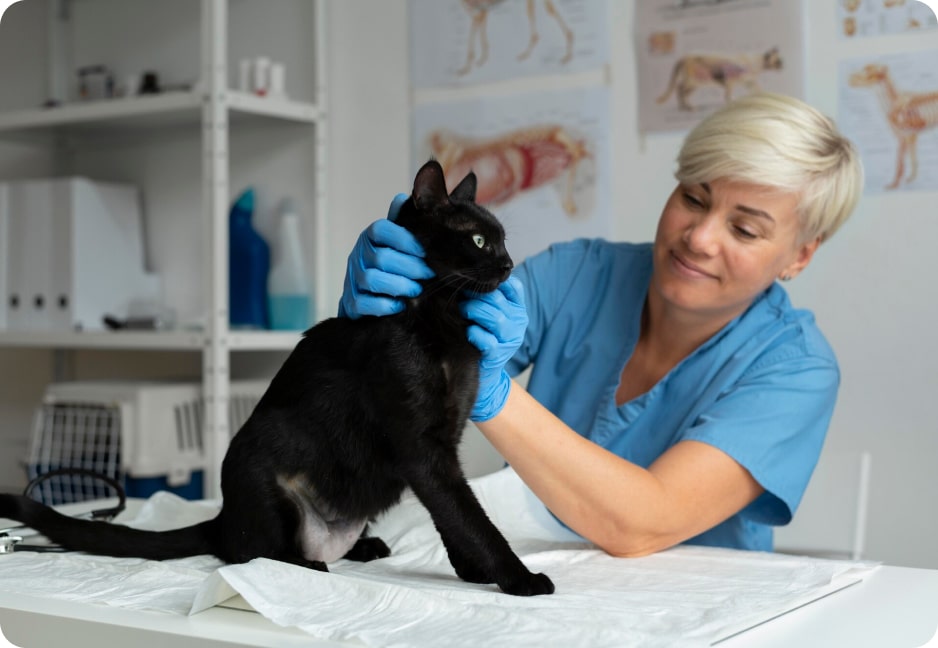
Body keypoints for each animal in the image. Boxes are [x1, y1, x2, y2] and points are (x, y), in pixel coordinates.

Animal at [0, 161, 552, 596]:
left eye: (502, 240)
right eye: (478, 240)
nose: (508, 264)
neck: (442, 322)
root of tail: (222, 518)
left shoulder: (446, 442)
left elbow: (451, 518)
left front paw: (472, 572)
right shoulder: (424, 451)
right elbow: (470, 517)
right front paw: (516, 578)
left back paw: (365, 545)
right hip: (263, 469)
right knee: (253, 553)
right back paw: (308, 562)